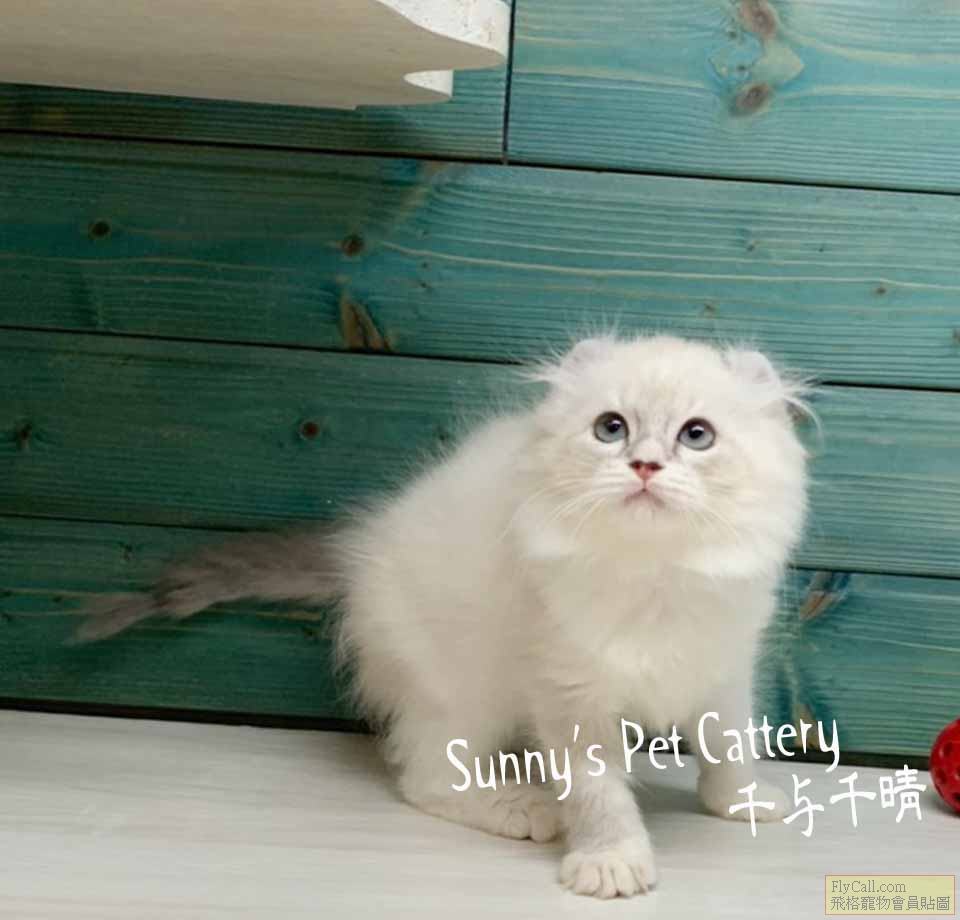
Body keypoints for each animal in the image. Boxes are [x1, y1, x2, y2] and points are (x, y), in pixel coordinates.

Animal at [78, 334, 809, 899]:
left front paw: (740, 802)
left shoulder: (723, 669)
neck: (650, 574)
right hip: (459, 691)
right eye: (611, 428)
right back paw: (521, 805)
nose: (645, 465)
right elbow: (597, 789)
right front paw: (610, 861)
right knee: (425, 778)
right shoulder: (568, 691)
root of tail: (357, 555)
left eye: (697, 436)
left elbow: (729, 746)